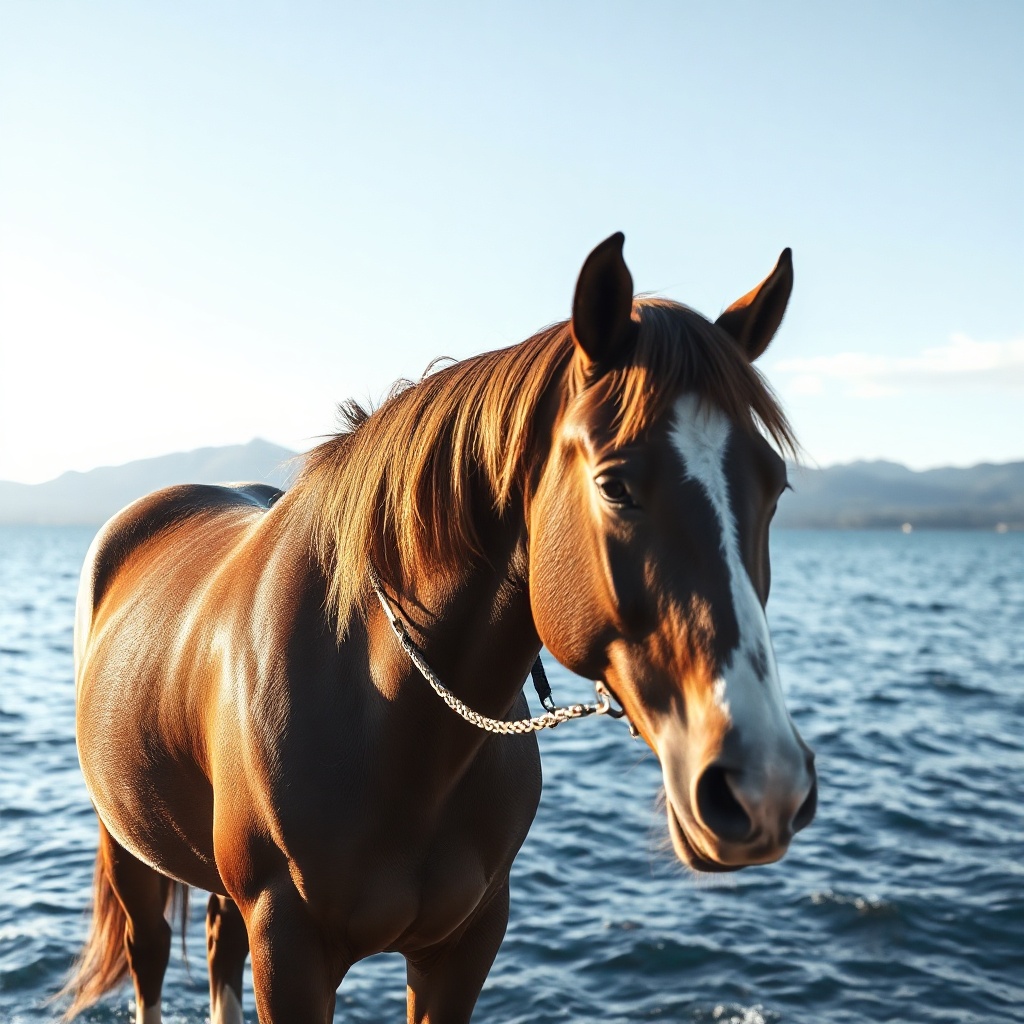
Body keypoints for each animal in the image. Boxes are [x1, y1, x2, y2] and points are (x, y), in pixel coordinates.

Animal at [64, 233, 816, 1023]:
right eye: (615, 485)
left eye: (775, 486)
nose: (765, 783)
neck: (384, 717)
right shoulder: (289, 952)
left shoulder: (465, 945)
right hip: (126, 843)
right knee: (148, 955)